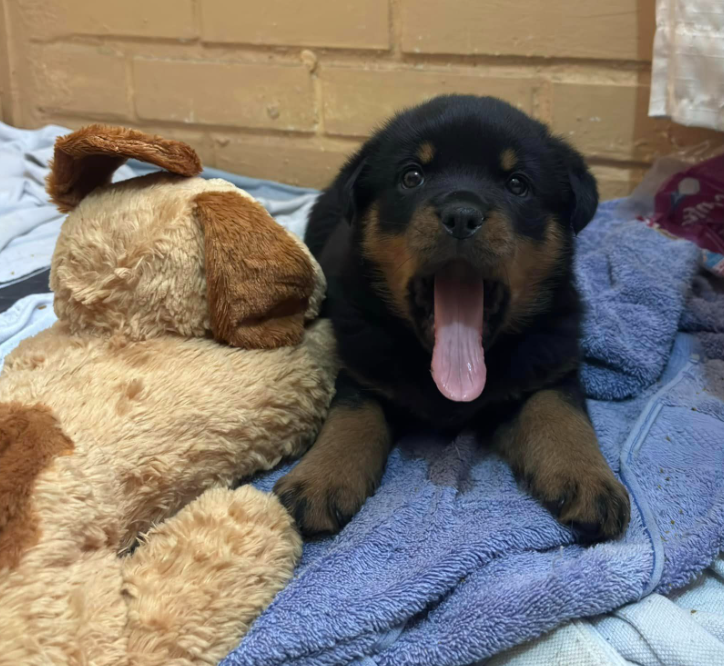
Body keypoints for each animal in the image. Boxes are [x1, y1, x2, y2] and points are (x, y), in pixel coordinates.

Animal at [274, 93, 632, 540]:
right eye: (412, 177)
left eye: (518, 184)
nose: (462, 214)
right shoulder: (362, 368)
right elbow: (350, 418)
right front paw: (319, 478)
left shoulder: (551, 359)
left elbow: (562, 413)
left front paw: (591, 478)